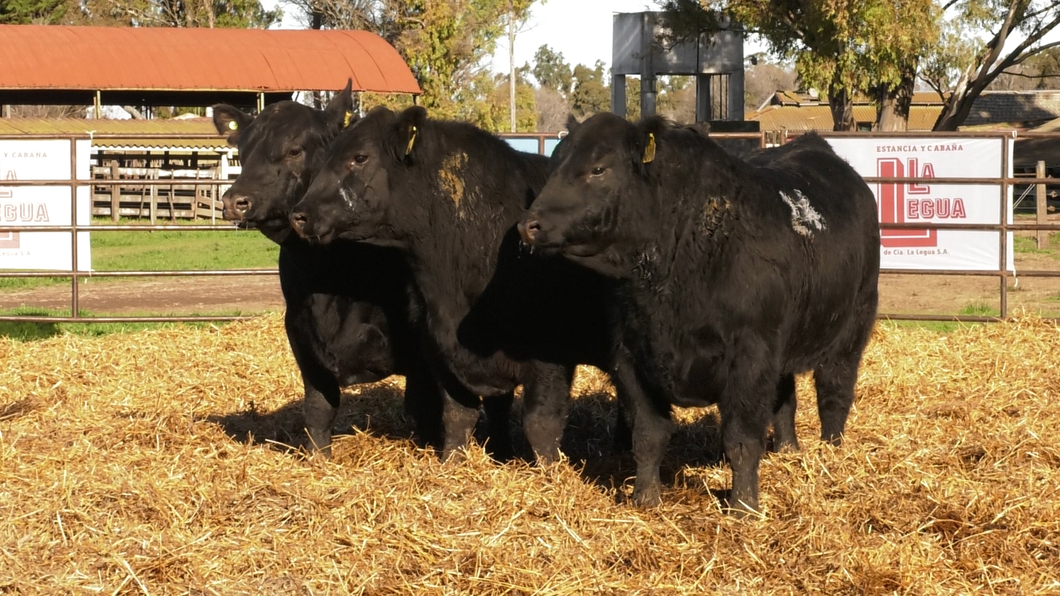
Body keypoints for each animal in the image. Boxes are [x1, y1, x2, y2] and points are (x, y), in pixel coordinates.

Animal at [211, 83, 443, 455]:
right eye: (242, 152)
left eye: (294, 149)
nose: (235, 201)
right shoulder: (302, 335)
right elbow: (319, 410)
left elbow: (424, 409)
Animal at [287, 106, 585, 463]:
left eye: (360, 157)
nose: (300, 215)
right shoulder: (439, 346)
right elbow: (458, 415)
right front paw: (451, 463)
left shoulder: (550, 361)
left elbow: (541, 425)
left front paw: (549, 471)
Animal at [518, 113, 880, 515]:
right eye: (555, 162)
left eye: (599, 168)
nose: (529, 225)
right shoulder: (629, 356)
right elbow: (647, 435)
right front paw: (646, 498)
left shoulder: (750, 357)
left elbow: (741, 440)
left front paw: (744, 505)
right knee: (784, 399)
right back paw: (788, 449)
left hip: (851, 330)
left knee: (834, 394)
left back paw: (830, 454)